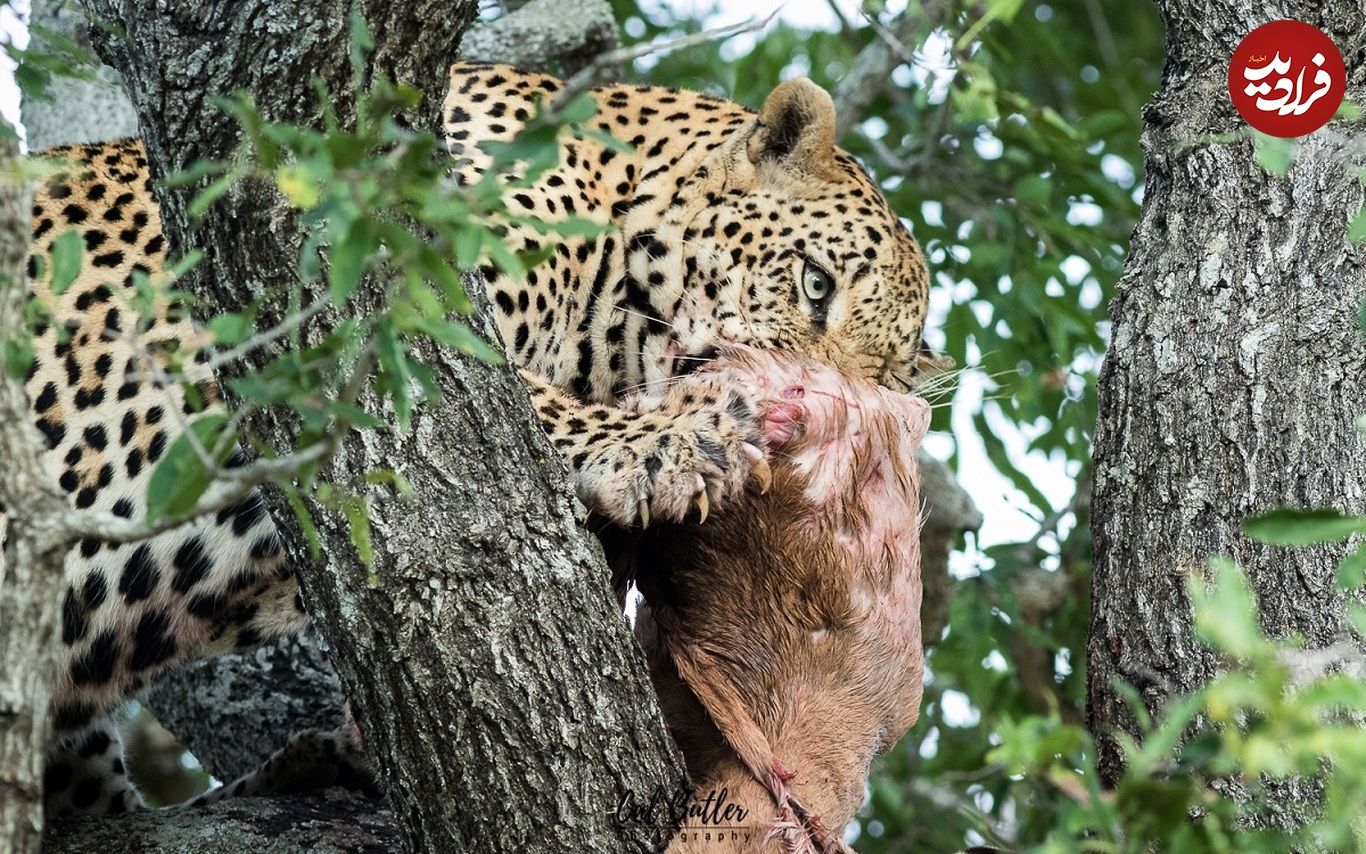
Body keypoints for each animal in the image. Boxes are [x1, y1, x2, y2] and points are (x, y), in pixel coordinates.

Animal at [2, 60, 939, 814]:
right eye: (814, 284)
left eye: (874, 387)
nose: (802, 412)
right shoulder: (304, 307)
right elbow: (523, 394)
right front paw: (668, 440)